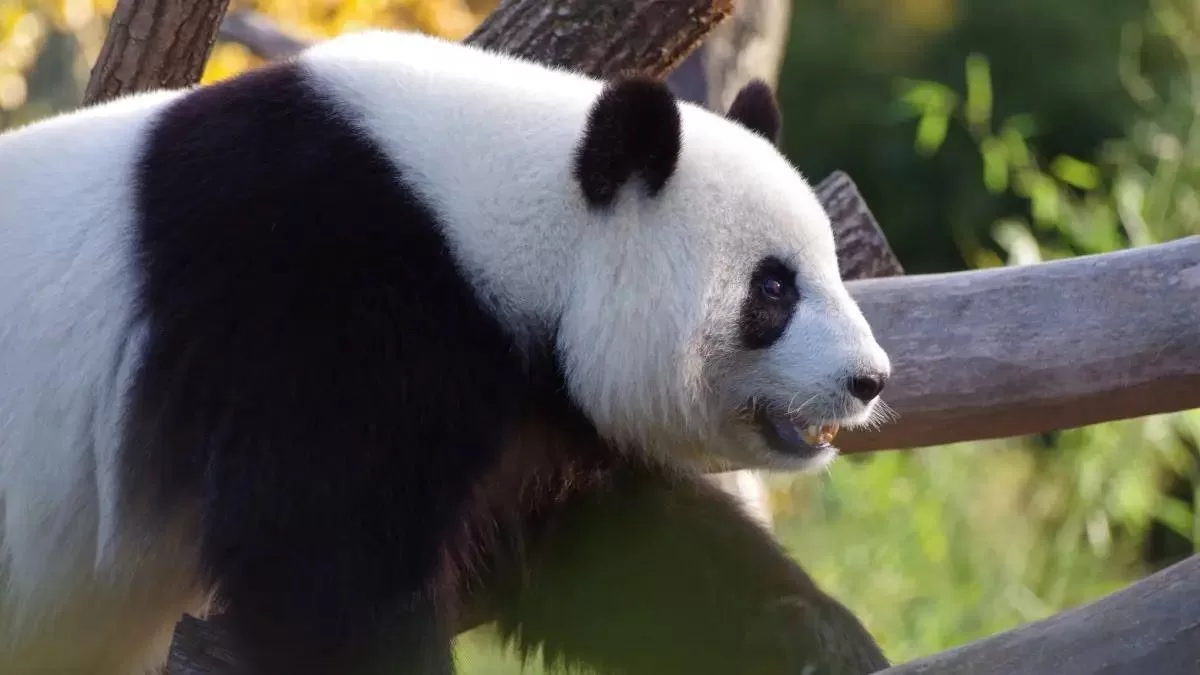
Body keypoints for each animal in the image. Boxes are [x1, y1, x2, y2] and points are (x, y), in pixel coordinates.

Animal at [0, 29, 891, 675]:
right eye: (773, 288)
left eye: (828, 263)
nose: (869, 380)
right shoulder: (319, 305)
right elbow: (323, 572)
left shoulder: (525, 404)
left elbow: (618, 546)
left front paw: (817, 636)